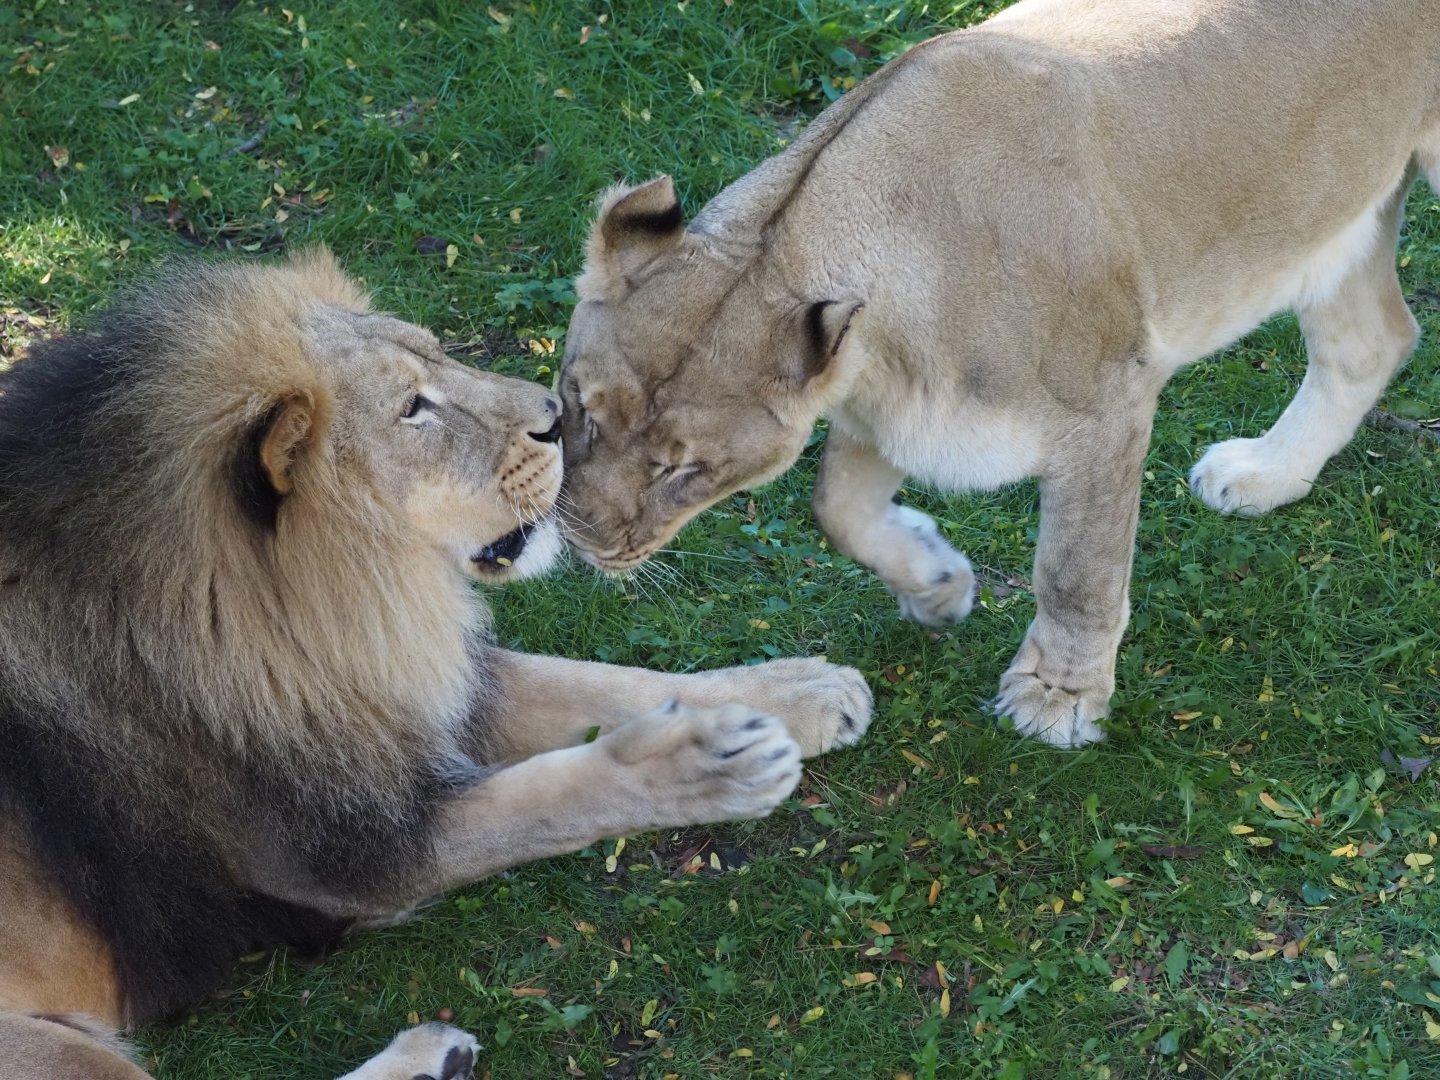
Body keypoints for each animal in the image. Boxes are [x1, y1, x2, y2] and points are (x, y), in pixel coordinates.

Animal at [0, 250, 873, 1079]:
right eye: (413, 409)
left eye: (437, 355)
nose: (560, 418)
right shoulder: (351, 855)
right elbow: (548, 795)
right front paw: (702, 764)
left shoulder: (398, 687)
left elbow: (602, 682)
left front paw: (802, 688)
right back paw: (430, 1052)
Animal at [556, 0, 1440, 748]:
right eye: (578, 410)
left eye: (686, 470)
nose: (580, 535)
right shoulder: (887, 408)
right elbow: (836, 510)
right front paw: (938, 584)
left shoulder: (1108, 405)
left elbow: (1076, 572)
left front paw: (1059, 697)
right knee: (1375, 339)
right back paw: (1266, 474)